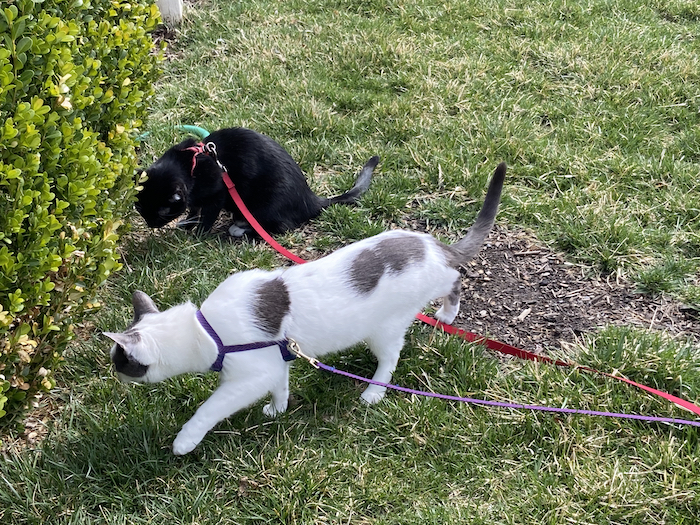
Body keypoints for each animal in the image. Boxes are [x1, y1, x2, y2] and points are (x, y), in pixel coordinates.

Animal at [105, 162, 504, 452]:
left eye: (120, 362)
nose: (114, 376)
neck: (208, 330)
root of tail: (431, 245)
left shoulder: (247, 377)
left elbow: (209, 408)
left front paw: (185, 441)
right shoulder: (276, 360)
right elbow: (280, 385)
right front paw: (277, 410)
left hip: (387, 327)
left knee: (424, 317)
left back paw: (383, 381)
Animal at [134, 127, 380, 233]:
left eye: (162, 211)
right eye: (139, 208)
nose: (150, 223)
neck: (189, 165)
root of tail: (310, 198)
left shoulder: (217, 193)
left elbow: (207, 215)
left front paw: (198, 234)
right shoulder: (195, 196)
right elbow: (194, 208)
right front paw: (188, 222)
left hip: (265, 205)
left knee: (281, 227)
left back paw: (240, 227)